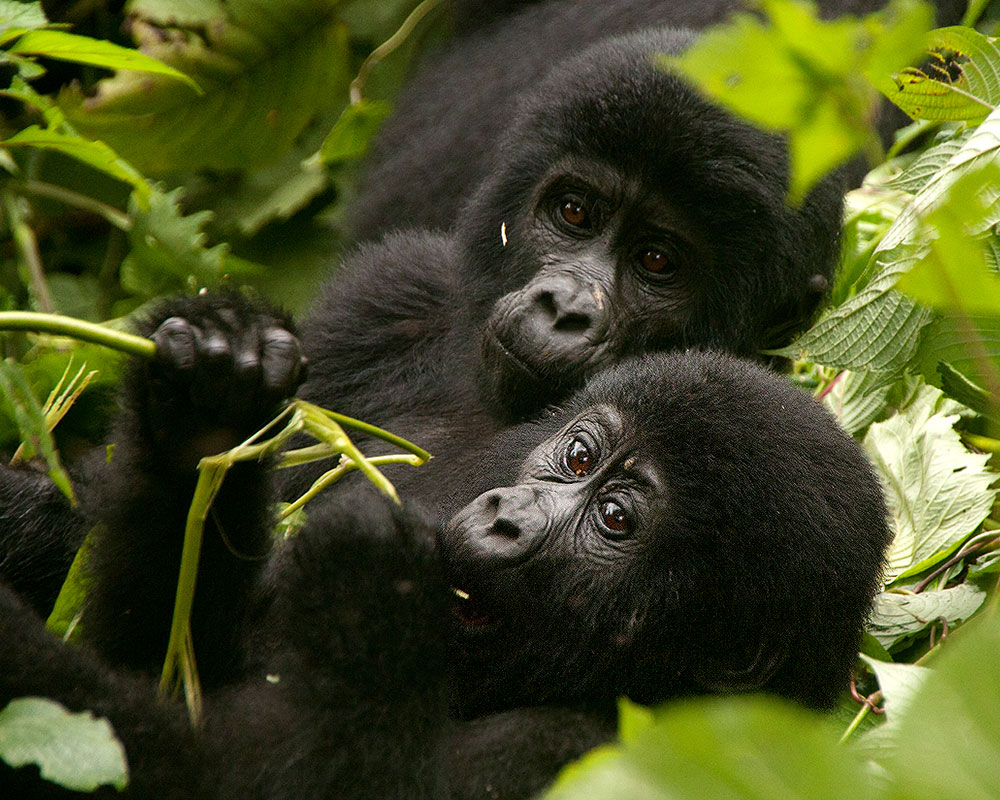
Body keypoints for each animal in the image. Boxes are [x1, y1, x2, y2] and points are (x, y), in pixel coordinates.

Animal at [1, 296, 892, 800]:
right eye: (578, 457)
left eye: (615, 520)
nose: (504, 516)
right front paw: (209, 410)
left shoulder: (596, 749)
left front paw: (371, 579)